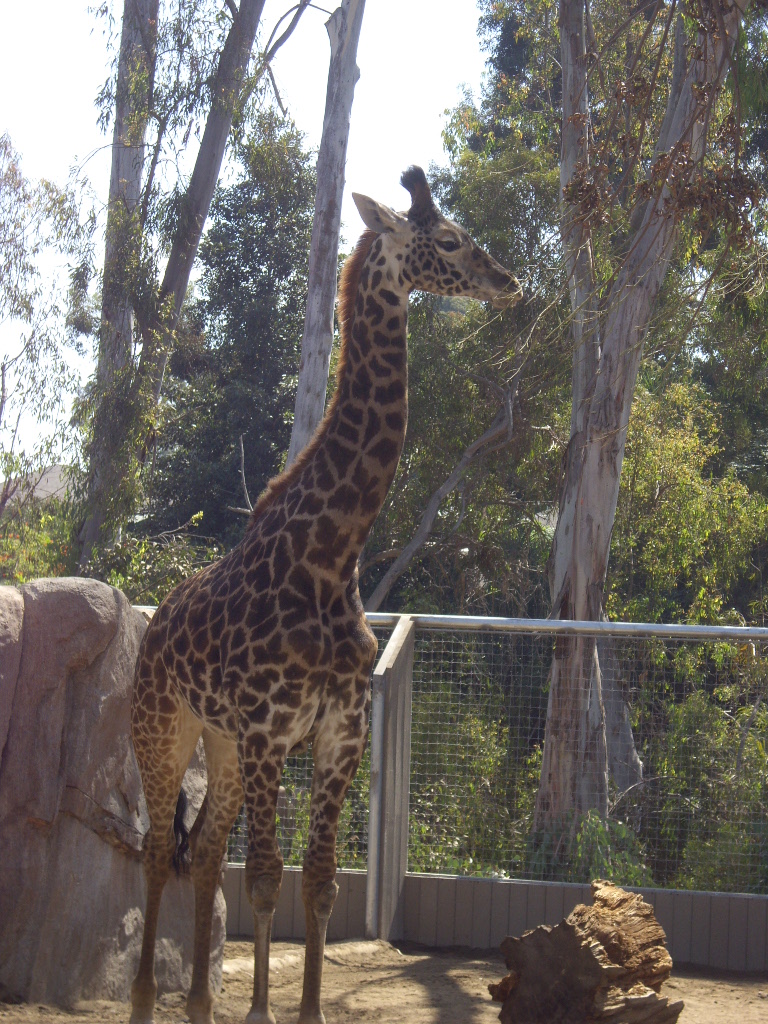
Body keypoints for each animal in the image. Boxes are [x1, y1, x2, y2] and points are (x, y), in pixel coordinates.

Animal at [129, 167, 524, 1024]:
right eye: (449, 241)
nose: (508, 281)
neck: (330, 556)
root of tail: (153, 621)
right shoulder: (270, 731)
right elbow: (266, 879)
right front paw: (262, 1011)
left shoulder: (339, 730)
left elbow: (317, 883)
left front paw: (302, 1009)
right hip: (164, 727)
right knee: (155, 849)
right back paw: (146, 999)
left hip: (222, 746)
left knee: (202, 851)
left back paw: (199, 1002)